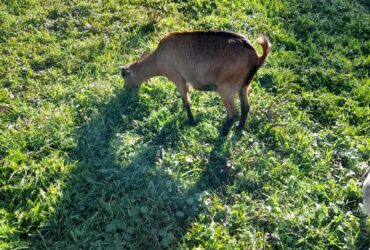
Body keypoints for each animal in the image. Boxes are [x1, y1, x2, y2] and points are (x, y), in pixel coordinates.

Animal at [121, 30, 272, 135]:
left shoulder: (177, 77)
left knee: (234, 113)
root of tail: (257, 57)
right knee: (246, 108)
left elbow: (186, 100)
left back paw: (223, 132)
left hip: (226, 88)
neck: (158, 58)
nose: (127, 93)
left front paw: (191, 121)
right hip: (244, 86)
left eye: (125, 78)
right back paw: (239, 129)